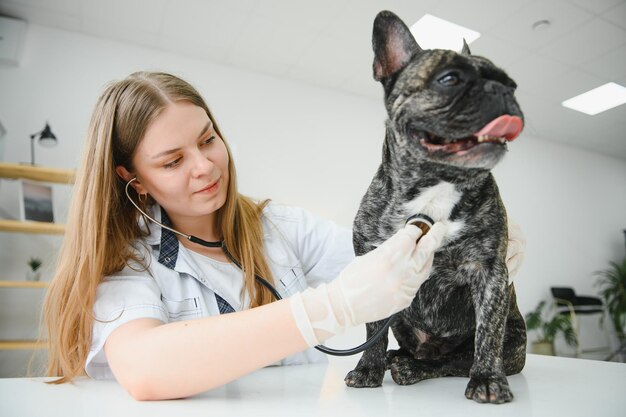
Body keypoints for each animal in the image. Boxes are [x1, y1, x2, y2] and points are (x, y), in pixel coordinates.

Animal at [346, 11, 528, 404]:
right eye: (449, 79)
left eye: (513, 85)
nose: (501, 91)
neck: (436, 184)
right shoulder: (374, 268)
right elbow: (373, 329)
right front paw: (368, 368)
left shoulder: (490, 273)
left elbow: (487, 334)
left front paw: (488, 379)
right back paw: (394, 358)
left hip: (513, 342)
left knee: (452, 361)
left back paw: (413, 367)